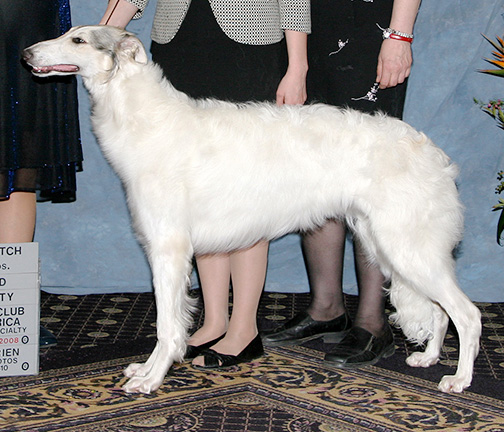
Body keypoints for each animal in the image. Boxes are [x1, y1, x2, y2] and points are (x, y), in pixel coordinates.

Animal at [23, 25, 480, 394]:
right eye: (68, 34)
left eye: (78, 40)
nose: (26, 55)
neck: (145, 117)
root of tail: (434, 153)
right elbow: (175, 322)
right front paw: (146, 370)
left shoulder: (168, 249)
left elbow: (167, 326)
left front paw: (152, 379)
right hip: (389, 244)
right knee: (440, 312)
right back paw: (427, 357)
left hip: (405, 245)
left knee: (468, 314)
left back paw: (458, 379)